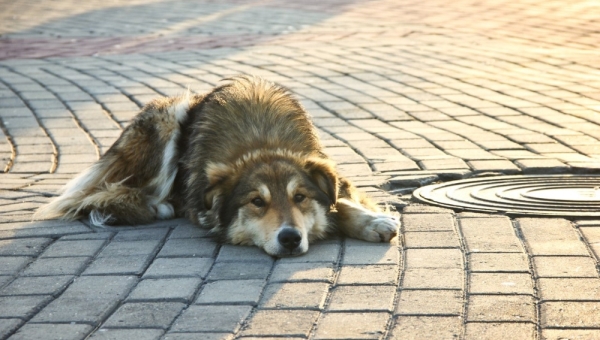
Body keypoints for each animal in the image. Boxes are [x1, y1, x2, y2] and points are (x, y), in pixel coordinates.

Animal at [38, 75, 404, 256]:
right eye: (257, 202)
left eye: (300, 198)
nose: (289, 238)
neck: (261, 145)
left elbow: (340, 200)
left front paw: (371, 221)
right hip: (168, 116)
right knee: (121, 191)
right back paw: (157, 206)